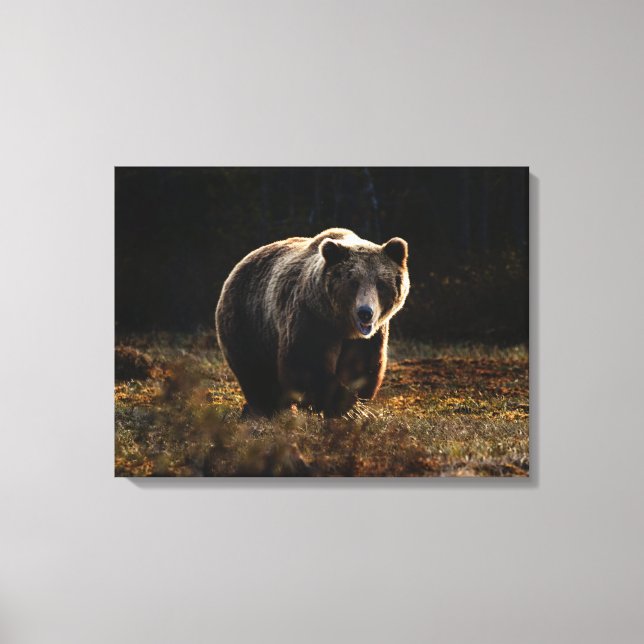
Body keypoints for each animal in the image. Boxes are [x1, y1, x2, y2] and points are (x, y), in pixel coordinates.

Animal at [215, 228, 410, 418]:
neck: (342, 325)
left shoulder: (369, 337)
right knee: (255, 373)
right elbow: (306, 363)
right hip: (248, 322)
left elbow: (361, 366)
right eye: (353, 282)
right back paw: (265, 408)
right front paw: (347, 407)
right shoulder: (311, 319)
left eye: (380, 283)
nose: (365, 313)